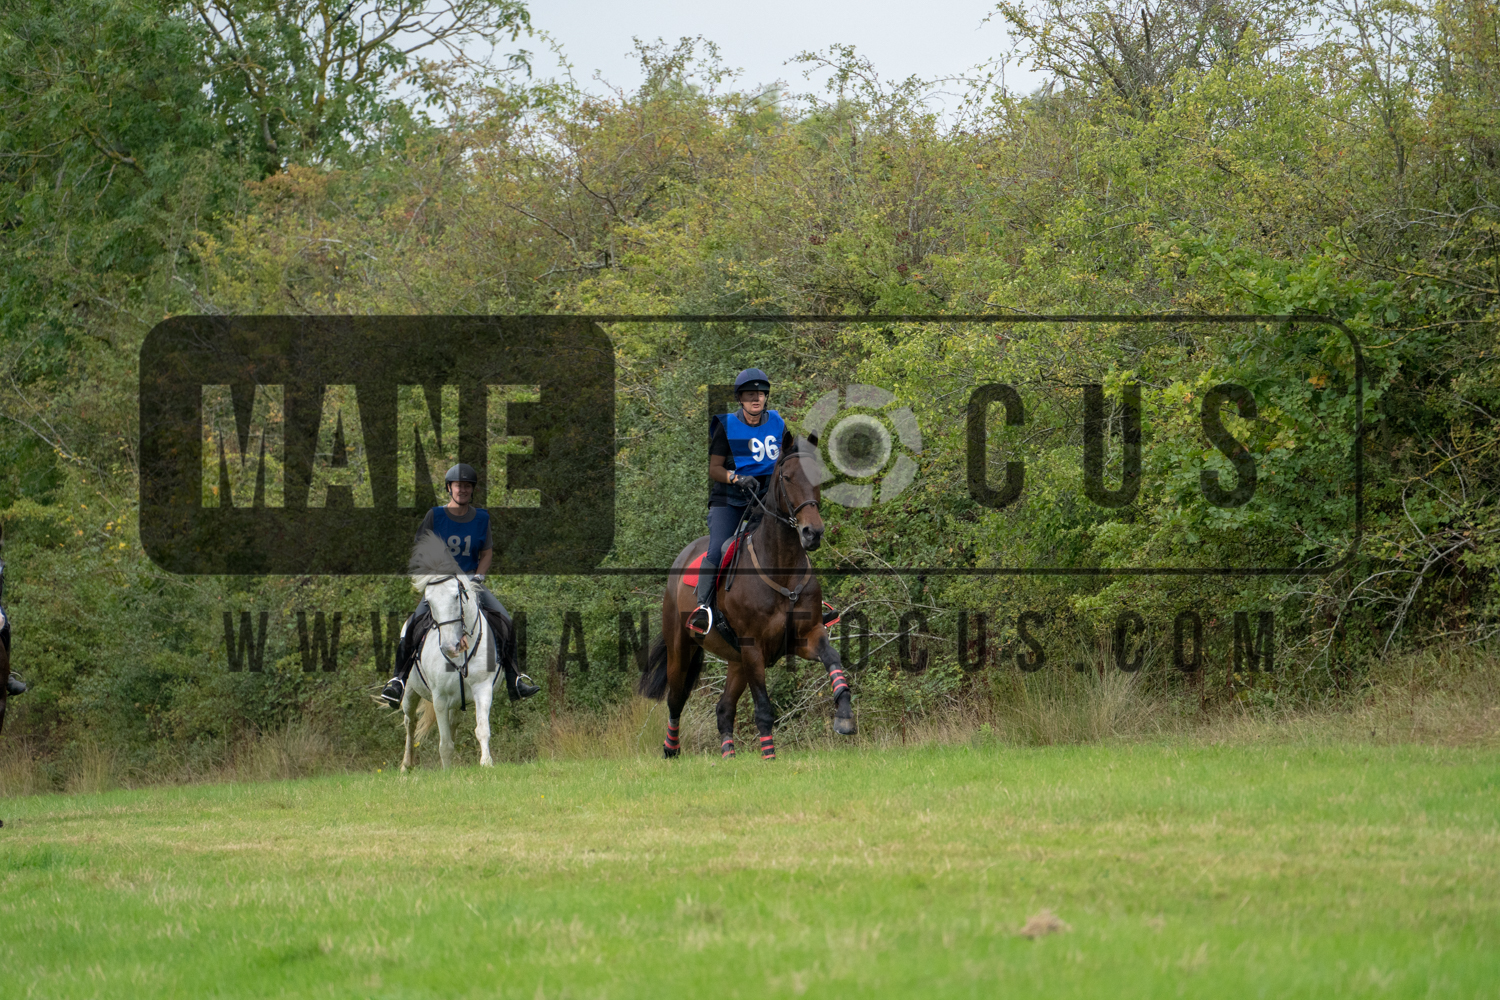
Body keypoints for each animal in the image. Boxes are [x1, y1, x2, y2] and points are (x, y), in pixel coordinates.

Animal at [401, 531, 504, 770]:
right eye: (428, 601)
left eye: (456, 596)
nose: (450, 647)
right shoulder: (438, 697)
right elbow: (444, 743)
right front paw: (447, 771)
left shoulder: (483, 688)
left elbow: (482, 729)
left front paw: (486, 763)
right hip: (410, 692)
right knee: (410, 722)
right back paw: (406, 765)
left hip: (458, 700)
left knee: (453, 722)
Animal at [639, 434, 856, 759]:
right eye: (788, 478)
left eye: (818, 477)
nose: (812, 533)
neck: (781, 568)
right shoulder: (754, 648)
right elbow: (763, 706)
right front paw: (769, 756)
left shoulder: (805, 636)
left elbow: (832, 657)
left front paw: (844, 716)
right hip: (682, 648)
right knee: (676, 699)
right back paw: (670, 749)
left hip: (736, 659)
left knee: (724, 708)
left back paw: (728, 756)